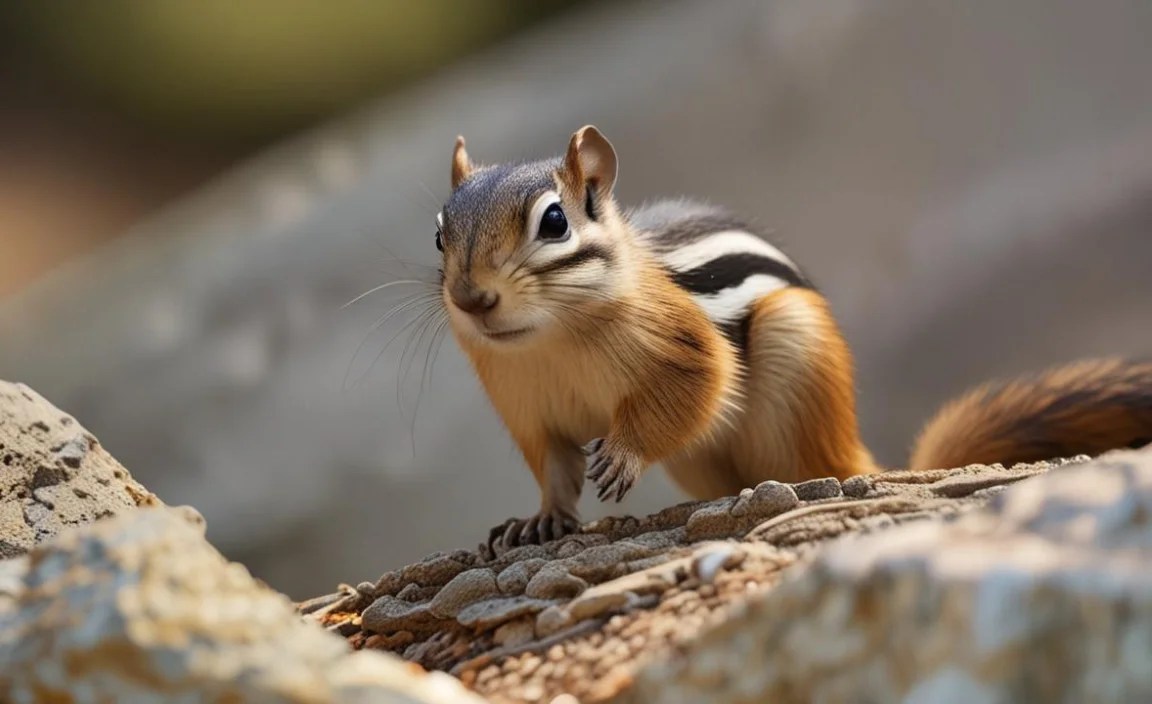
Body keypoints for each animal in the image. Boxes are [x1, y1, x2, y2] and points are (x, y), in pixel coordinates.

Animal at [431, 124, 1152, 553]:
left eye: (554, 222)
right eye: (439, 235)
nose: (470, 298)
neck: (547, 338)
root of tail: (852, 448)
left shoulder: (686, 348)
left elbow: (694, 390)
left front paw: (625, 456)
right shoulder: (528, 410)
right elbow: (554, 466)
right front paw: (540, 518)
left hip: (793, 348)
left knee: (807, 465)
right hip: (699, 458)